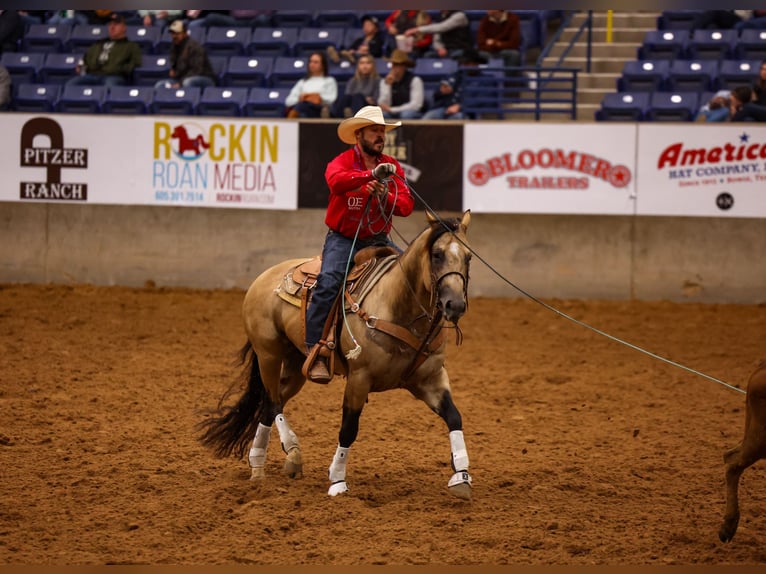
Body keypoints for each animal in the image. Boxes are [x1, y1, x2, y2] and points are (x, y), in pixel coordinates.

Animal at [198, 210, 474, 498]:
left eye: (468, 257)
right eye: (437, 255)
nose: (455, 305)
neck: (399, 306)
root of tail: (263, 277)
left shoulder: (430, 379)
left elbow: (454, 417)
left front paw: (462, 476)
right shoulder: (359, 378)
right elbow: (349, 429)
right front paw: (338, 480)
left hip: (297, 365)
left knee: (269, 404)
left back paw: (259, 465)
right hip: (268, 355)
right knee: (272, 401)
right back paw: (292, 453)